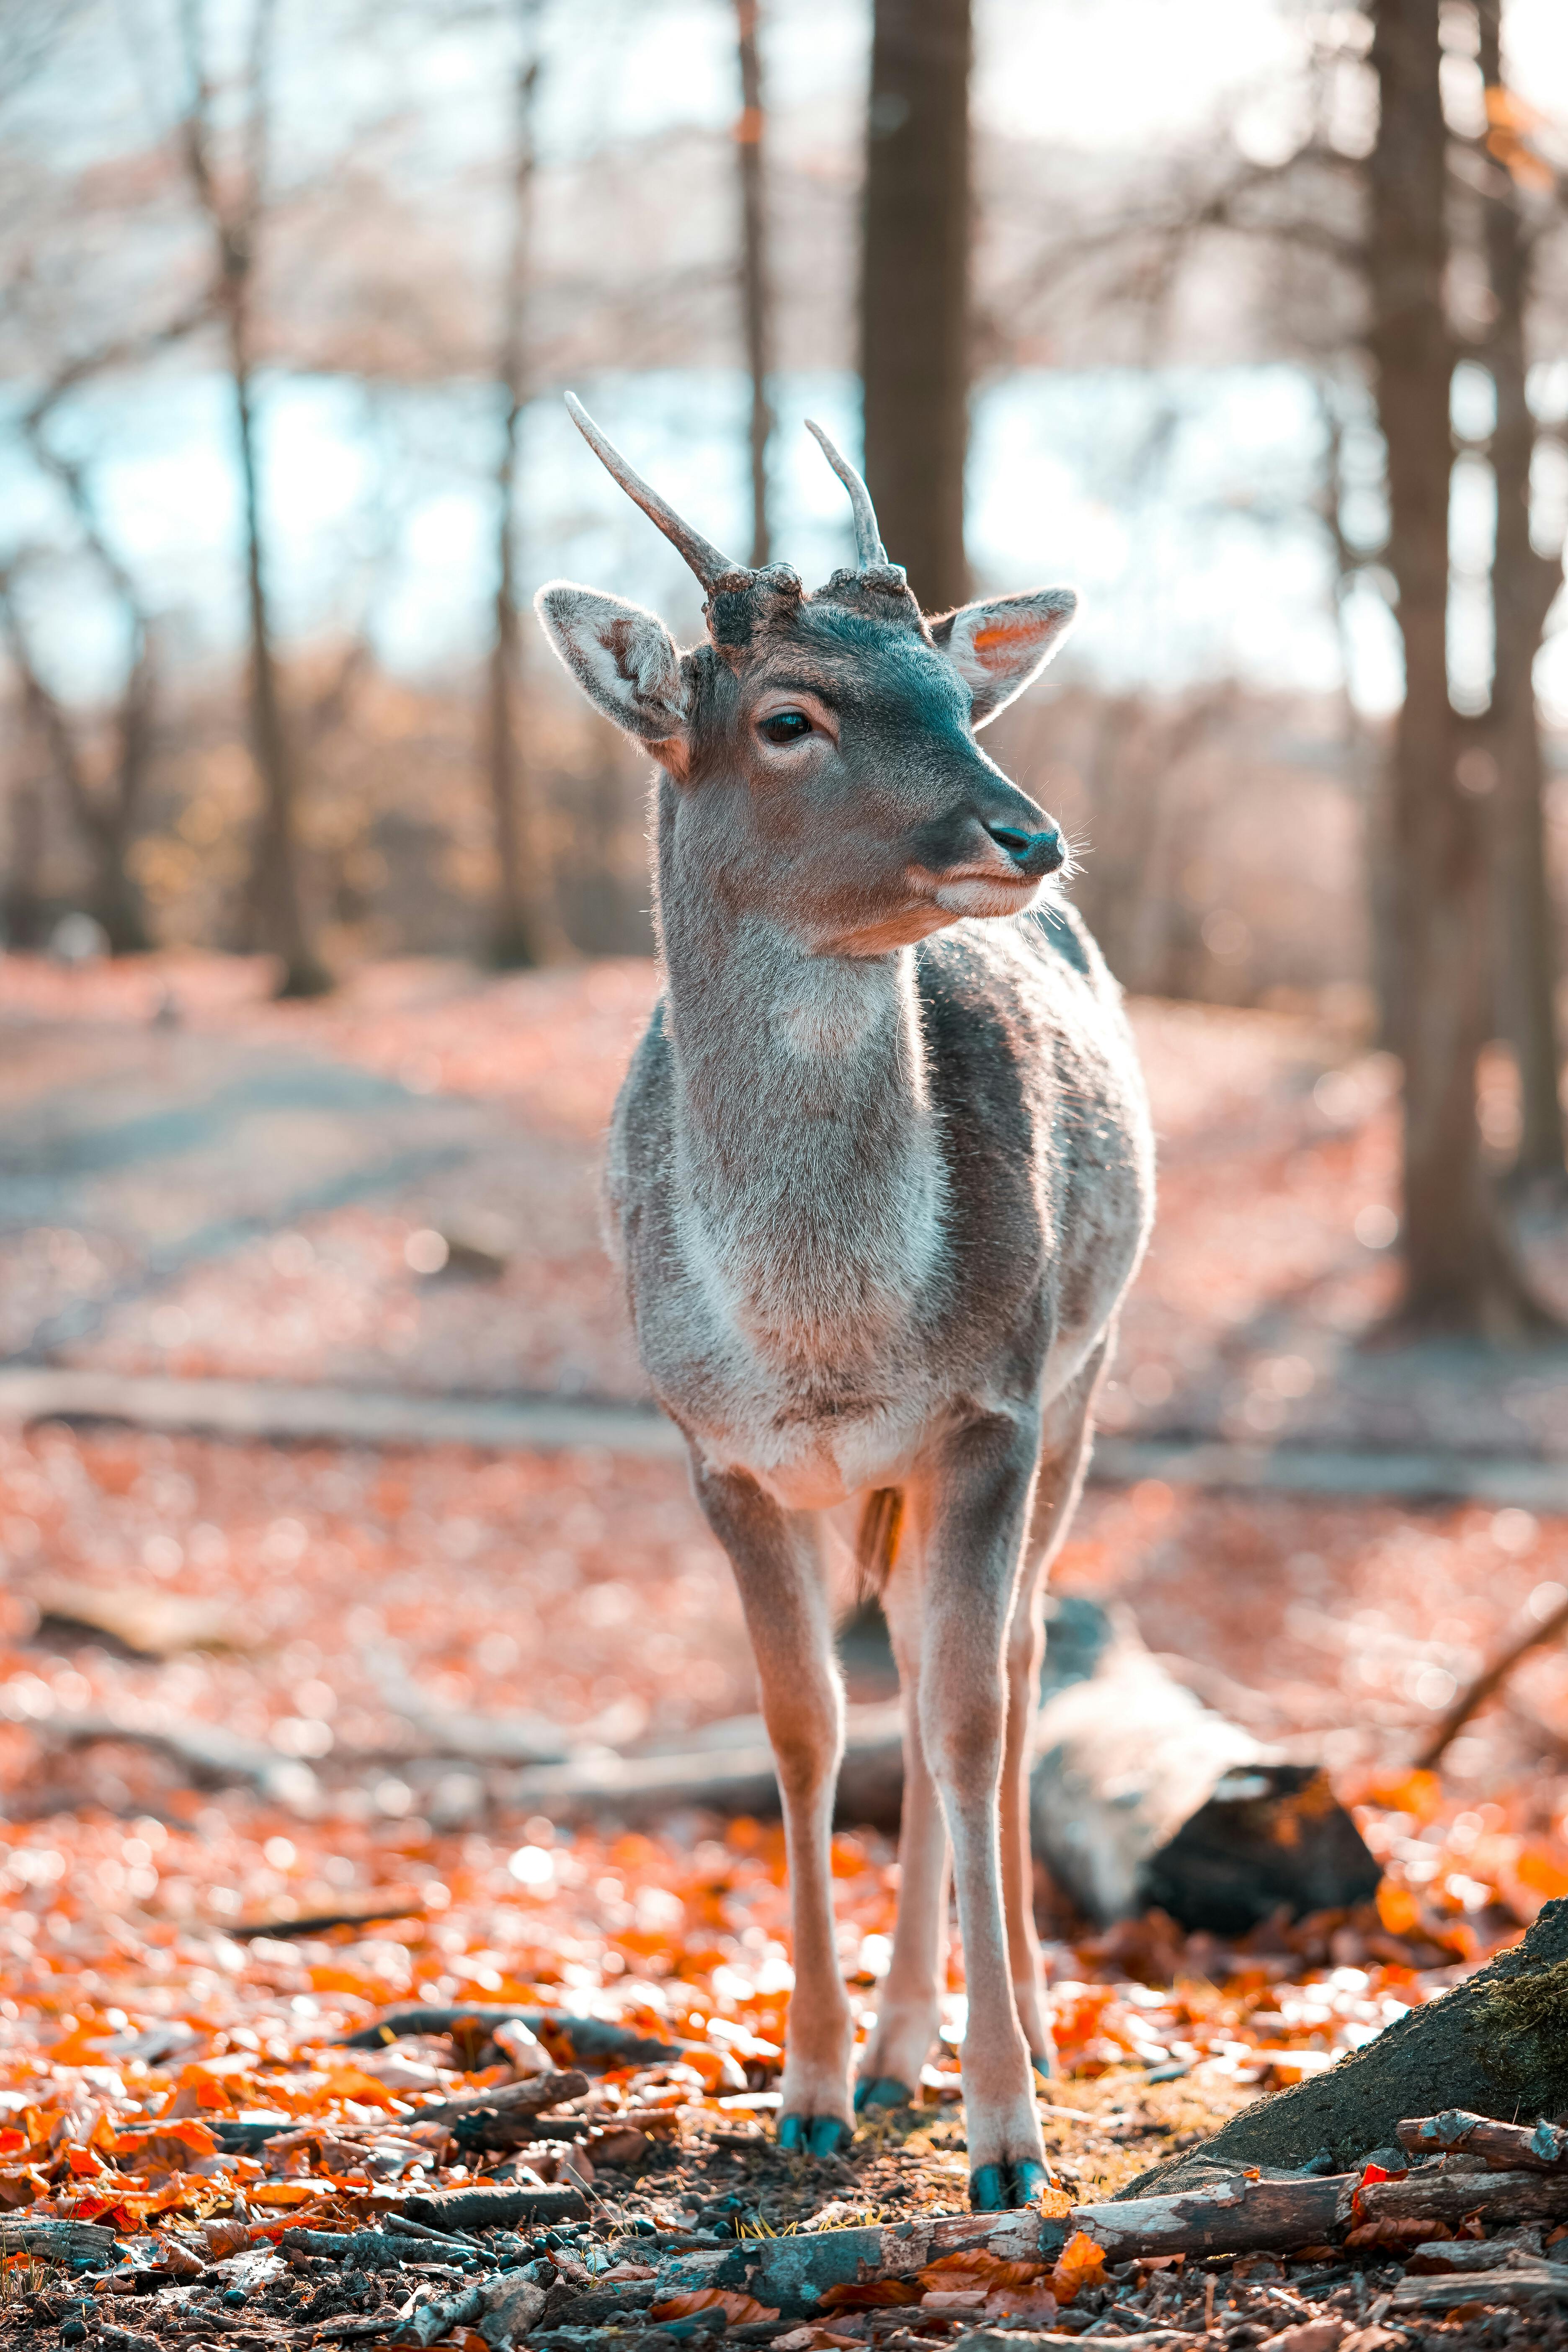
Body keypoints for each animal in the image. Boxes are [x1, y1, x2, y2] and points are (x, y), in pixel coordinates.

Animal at [536, 396, 1154, 2211]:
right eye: (789, 714)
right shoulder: (717, 1451)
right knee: (920, 1678)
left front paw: (1008, 2137)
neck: (819, 1343)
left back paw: (982, 2040)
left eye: (954, 686)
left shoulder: (992, 1405)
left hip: (1090, 1374)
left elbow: (965, 1715)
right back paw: (886, 2060)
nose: (1027, 834)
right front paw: (806, 2091)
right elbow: (805, 1730)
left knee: (1006, 1663)